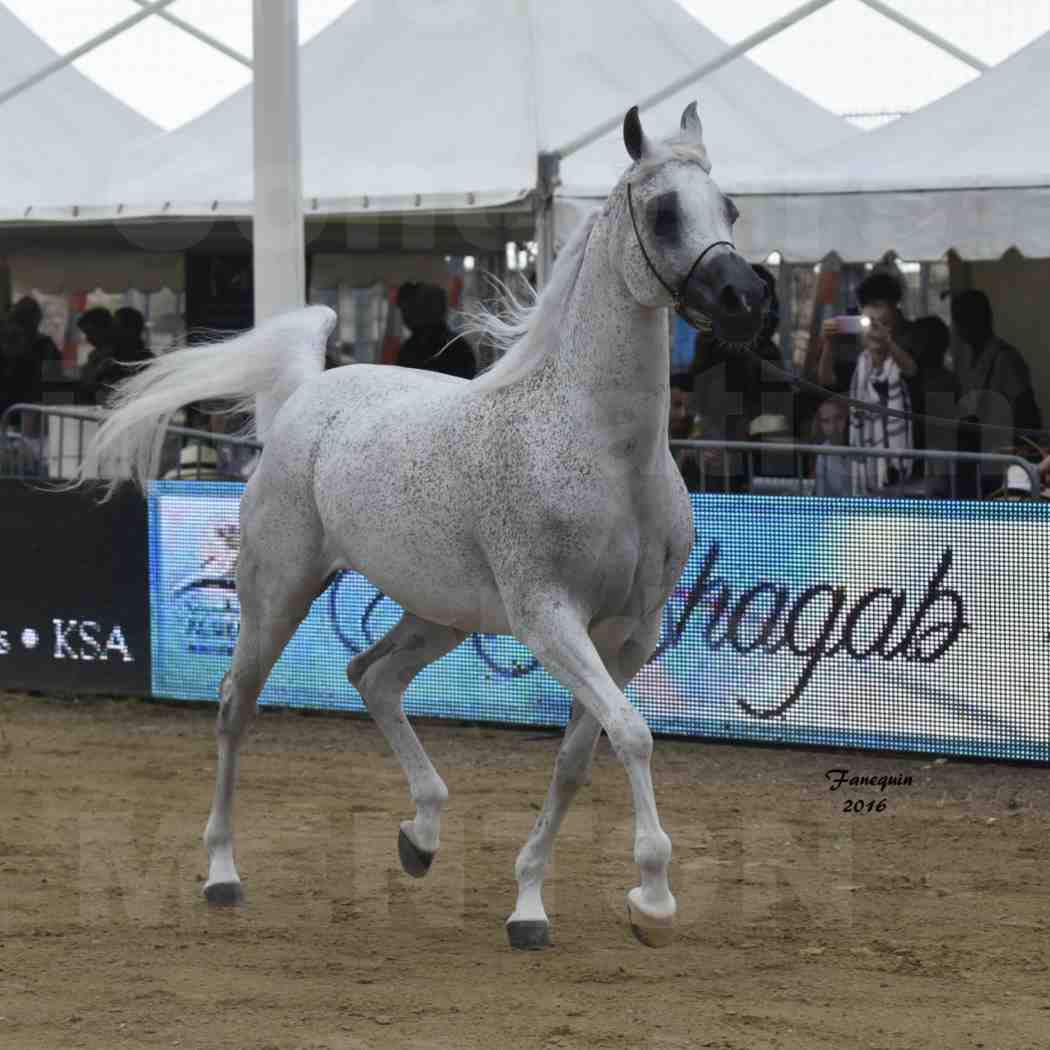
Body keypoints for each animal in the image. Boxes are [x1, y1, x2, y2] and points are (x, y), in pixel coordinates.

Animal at [81, 104, 768, 953]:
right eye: (666, 211)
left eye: (729, 209)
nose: (746, 297)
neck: (608, 452)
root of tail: (308, 393)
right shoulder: (551, 620)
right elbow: (634, 735)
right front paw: (652, 897)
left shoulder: (630, 637)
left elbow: (582, 758)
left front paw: (530, 905)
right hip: (278, 593)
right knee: (236, 707)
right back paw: (223, 874)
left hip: (440, 613)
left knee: (371, 678)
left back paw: (422, 836)